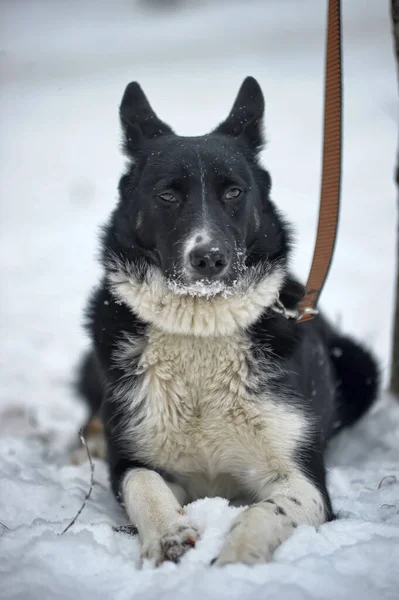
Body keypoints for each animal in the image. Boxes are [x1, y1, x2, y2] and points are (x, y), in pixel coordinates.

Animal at [76, 76, 380, 568]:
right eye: (167, 195)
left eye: (234, 192)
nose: (209, 258)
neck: (202, 326)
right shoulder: (134, 460)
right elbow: (144, 485)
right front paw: (167, 533)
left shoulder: (302, 475)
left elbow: (269, 508)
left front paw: (239, 554)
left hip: (360, 365)